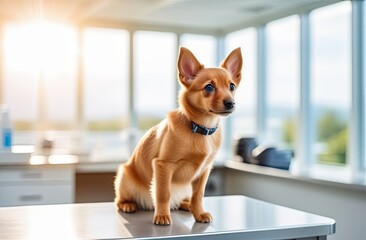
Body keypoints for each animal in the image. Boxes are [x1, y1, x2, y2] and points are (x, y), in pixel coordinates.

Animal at [113, 47, 242, 225]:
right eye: (209, 87)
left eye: (232, 86)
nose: (231, 103)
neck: (200, 128)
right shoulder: (163, 165)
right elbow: (163, 193)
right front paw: (162, 215)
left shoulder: (204, 171)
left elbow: (198, 195)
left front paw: (199, 213)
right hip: (125, 178)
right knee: (118, 200)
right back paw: (128, 204)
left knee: (185, 199)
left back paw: (186, 204)